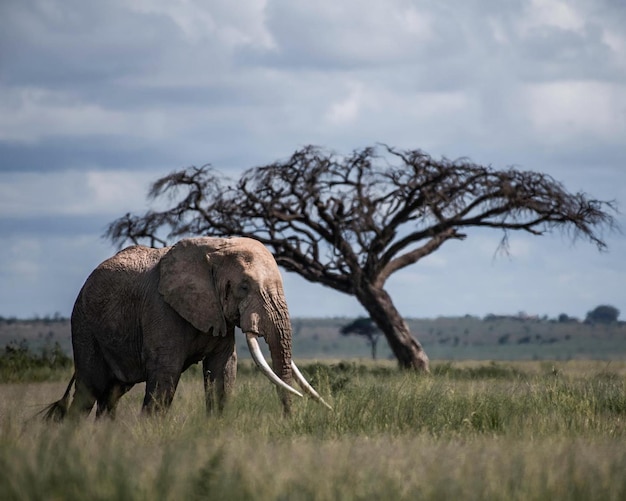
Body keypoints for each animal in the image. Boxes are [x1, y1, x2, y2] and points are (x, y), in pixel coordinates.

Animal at [45, 234, 330, 418]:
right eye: (244, 287)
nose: (289, 420)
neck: (215, 249)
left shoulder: (217, 312)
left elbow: (223, 370)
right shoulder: (161, 308)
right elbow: (165, 373)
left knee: (111, 394)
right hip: (83, 324)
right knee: (89, 390)